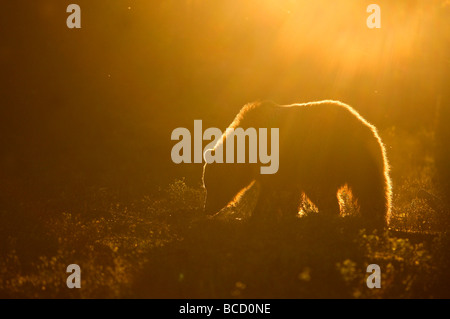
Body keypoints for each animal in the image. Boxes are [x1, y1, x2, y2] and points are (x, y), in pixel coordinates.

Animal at [202, 100, 392, 228]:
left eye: (212, 185)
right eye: (207, 185)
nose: (207, 210)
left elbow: (279, 193)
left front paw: (258, 217)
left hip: (322, 156)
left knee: (324, 191)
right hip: (365, 160)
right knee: (371, 189)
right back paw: (376, 218)